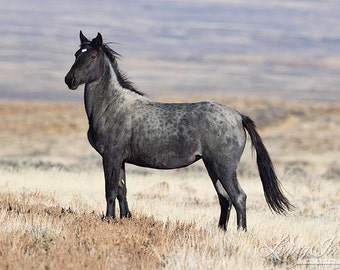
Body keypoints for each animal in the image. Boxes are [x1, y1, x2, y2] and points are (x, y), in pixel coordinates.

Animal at [65, 31, 294, 230]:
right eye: (76, 54)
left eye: (92, 56)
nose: (70, 80)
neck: (112, 105)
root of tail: (238, 116)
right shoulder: (120, 159)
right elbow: (122, 190)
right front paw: (125, 218)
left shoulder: (110, 157)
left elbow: (110, 190)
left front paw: (109, 220)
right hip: (212, 166)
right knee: (224, 198)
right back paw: (220, 231)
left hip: (225, 167)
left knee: (238, 197)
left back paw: (240, 233)